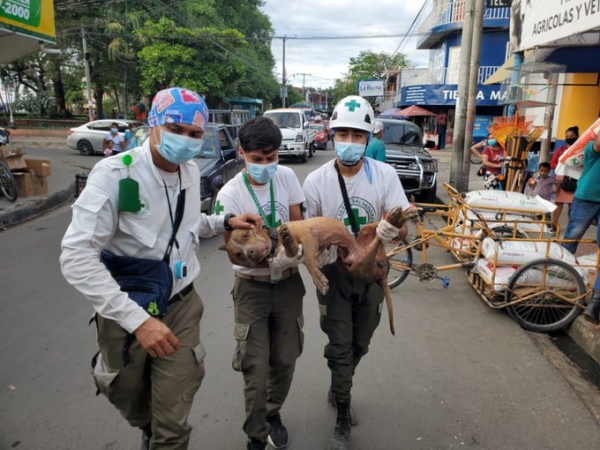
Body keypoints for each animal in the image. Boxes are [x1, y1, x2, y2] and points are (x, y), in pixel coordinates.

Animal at [223, 206, 410, 336]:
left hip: (366, 240)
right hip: (361, 262)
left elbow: (310, 262)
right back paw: (399, 217)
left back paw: (399, 216)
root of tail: (381, 274)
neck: (276, 241)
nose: (250, 254)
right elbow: (298, 255)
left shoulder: (308, 238)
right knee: (376, 239)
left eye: (245, 236)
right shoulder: (298, 251)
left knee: (380, 233)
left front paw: (319, 281)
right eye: (238, 255)